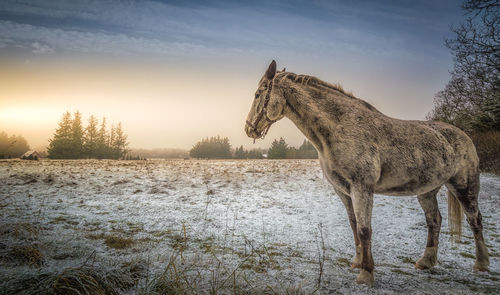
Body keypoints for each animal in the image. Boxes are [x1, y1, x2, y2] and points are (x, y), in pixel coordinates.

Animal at [244, 59, 490, 286]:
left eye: (258, 94)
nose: (248, 129)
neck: (341, 127)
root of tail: (463, 135)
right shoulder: (343, 190)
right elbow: (354, 225)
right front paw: (357, 262)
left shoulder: (362, 188)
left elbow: (364, 229)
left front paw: (366, 274)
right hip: (427, 191)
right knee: (434, 220)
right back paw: (426, 262)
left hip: (463, 186)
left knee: (475, 219)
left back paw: (482, 264)